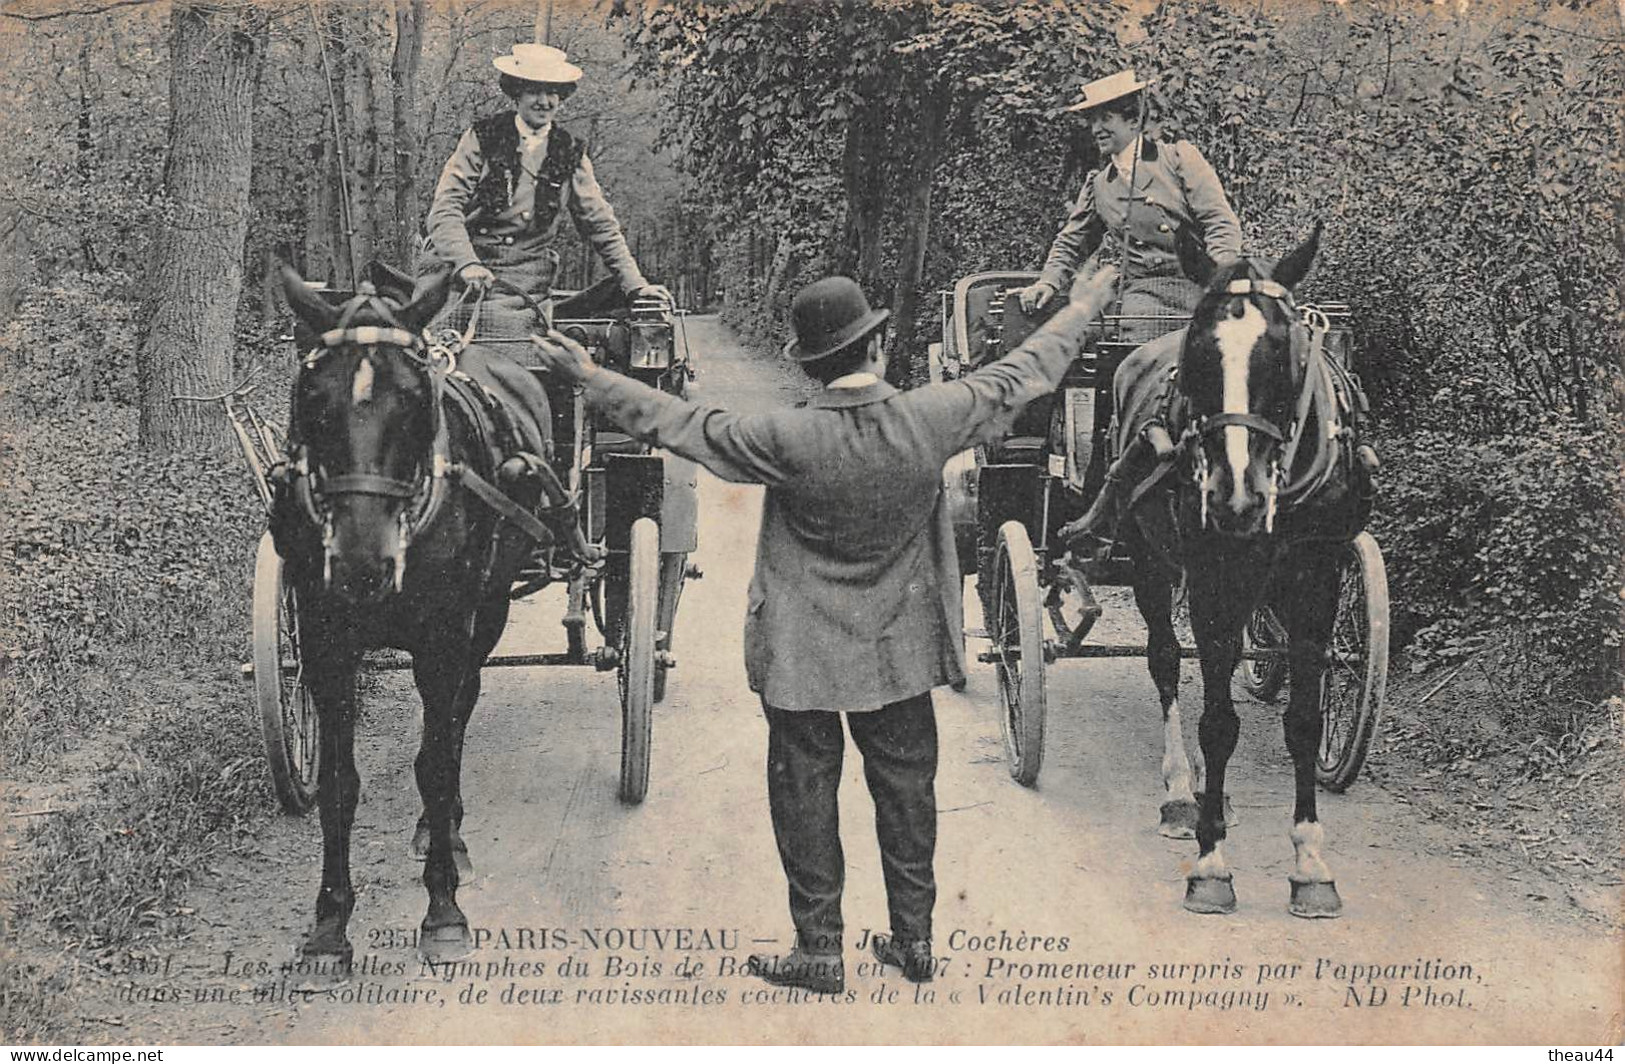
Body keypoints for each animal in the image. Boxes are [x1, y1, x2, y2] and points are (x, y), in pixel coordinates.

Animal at [277, 264, 578, 974]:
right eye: (311, 398)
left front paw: (442, 911)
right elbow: (338, 783)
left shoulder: (444, 638)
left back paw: (450, 836)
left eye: (417, 402)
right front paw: (330, 926)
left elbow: (437, 763)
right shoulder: (325, 644)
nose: (362, 561)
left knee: (460, 711)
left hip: (488, 608)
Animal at [1105, 224, 1371, 916]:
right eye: (1199, 351)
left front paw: (1310, 863)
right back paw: (1182, 791)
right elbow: (1218, 722)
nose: (1235, 496)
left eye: (1284, 354)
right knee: (1167, 662)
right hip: (1149, 562)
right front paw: (1211, 862)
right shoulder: (1208, 578)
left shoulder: (1319, 576)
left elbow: (1303, 720)